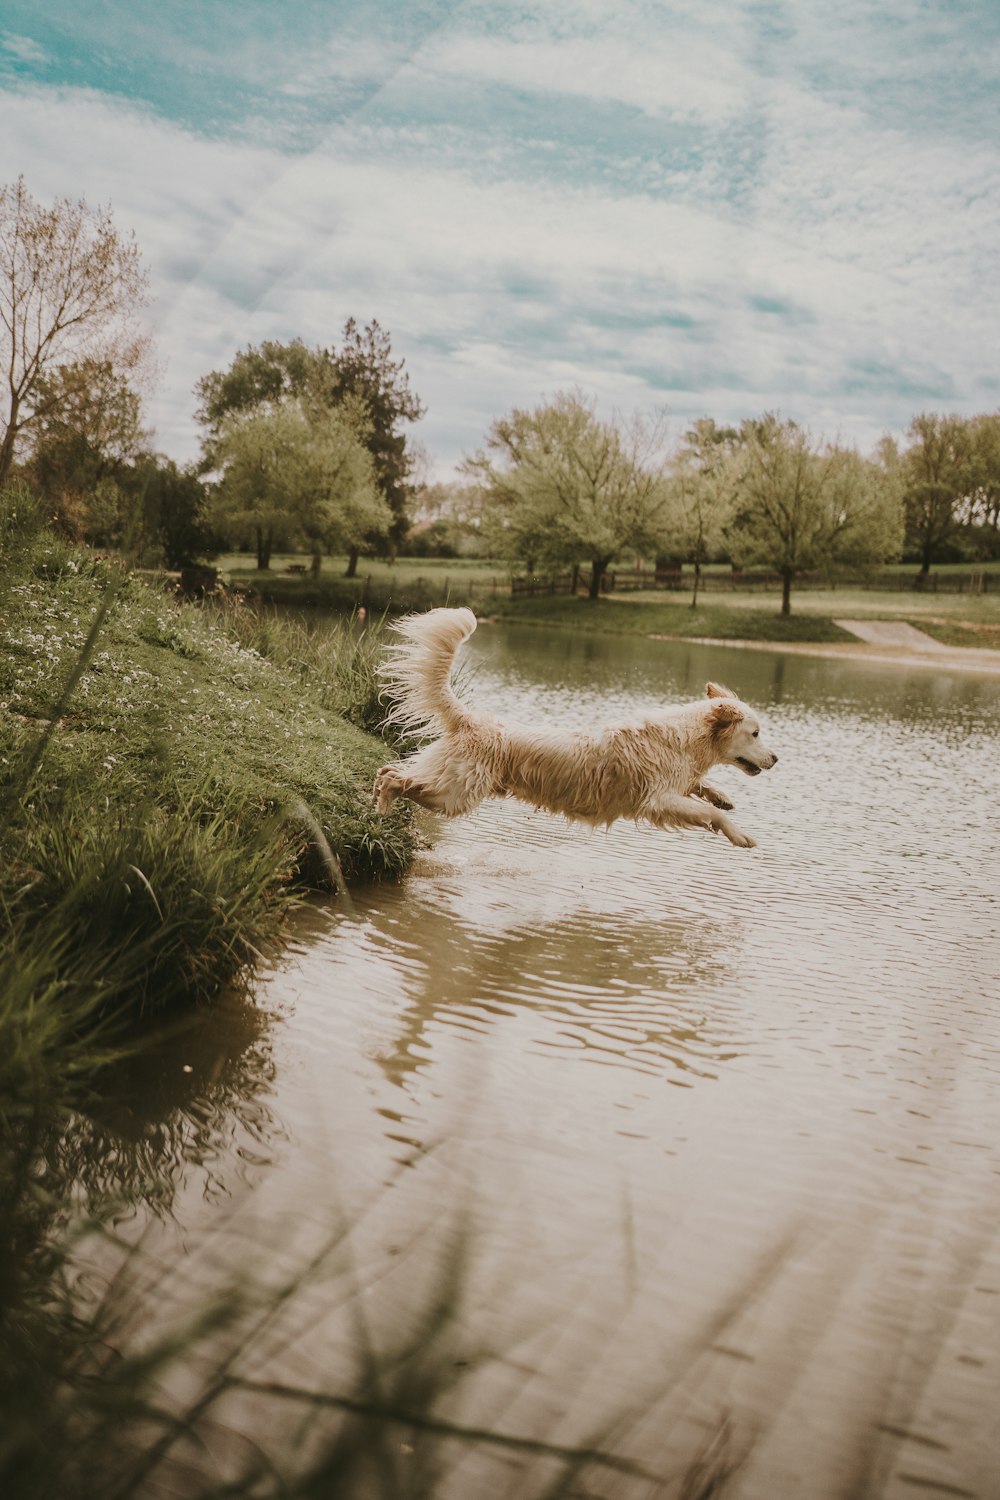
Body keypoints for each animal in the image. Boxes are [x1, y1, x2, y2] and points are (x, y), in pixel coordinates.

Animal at [371, 606, 779, 846]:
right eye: (755, 733)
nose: (776, 758)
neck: (683, 740)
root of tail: (471, 719)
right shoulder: (659, 800)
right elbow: (708, 814)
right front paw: (740, 835)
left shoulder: (674, 787)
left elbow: (702, 788)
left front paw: (722, 796)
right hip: (455, 793)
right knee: (397, 779)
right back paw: (382, 810)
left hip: (449, 785)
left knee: (389, 769)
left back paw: (377, 802)